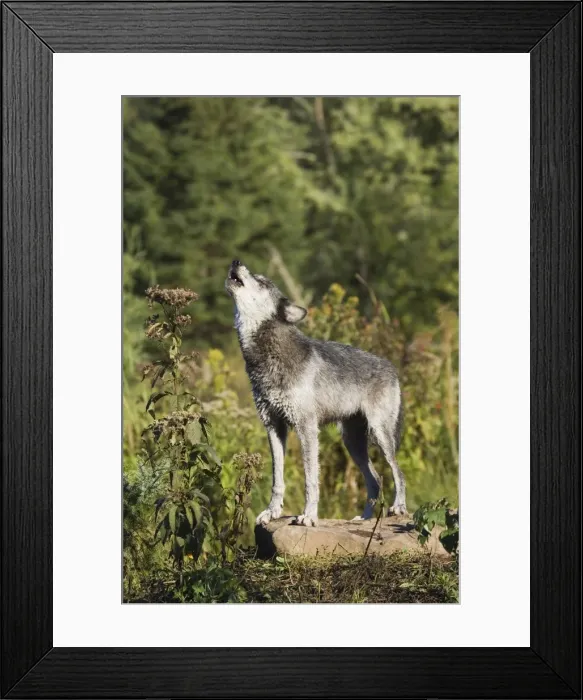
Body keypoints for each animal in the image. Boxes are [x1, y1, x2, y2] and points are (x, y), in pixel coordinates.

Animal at [225, 260, 406, 527]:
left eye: (262, 281)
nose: (236, 261)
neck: (267, 358)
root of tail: (392, 367)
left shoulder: (307, 428)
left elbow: (311, 480)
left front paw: (309, 516)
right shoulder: (274, 427)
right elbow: (277, 479)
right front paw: (272, 512)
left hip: (380, 436)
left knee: (397, 472)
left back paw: (398, 508)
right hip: (353, 443)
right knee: (374, 481)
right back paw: (361, 520)